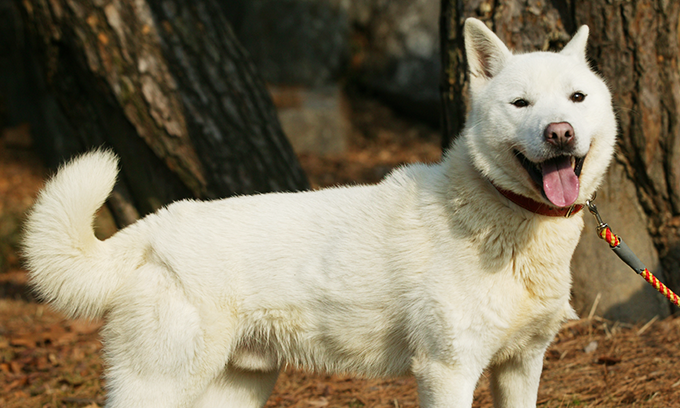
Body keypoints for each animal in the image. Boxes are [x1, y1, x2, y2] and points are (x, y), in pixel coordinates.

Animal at [23, 18, 616, 408]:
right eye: (520, 104)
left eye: (577, 97)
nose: (559, 133)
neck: (503, 226)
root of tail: (152, 229)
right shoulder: (446, 371)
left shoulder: (522, 365)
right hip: (160, 386)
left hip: (235, 388)